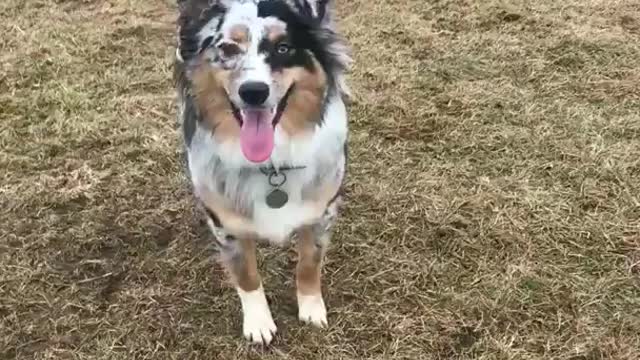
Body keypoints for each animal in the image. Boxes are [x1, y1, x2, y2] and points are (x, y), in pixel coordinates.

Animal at [174, 0, 350, 344]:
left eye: (283, 48)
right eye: (228, 48)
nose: (253, 91)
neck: (272, 164)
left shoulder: (322, 213)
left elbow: (309, 264)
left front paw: (311, 308)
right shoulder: (226, 224)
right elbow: (247, 276)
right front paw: (258, 322)